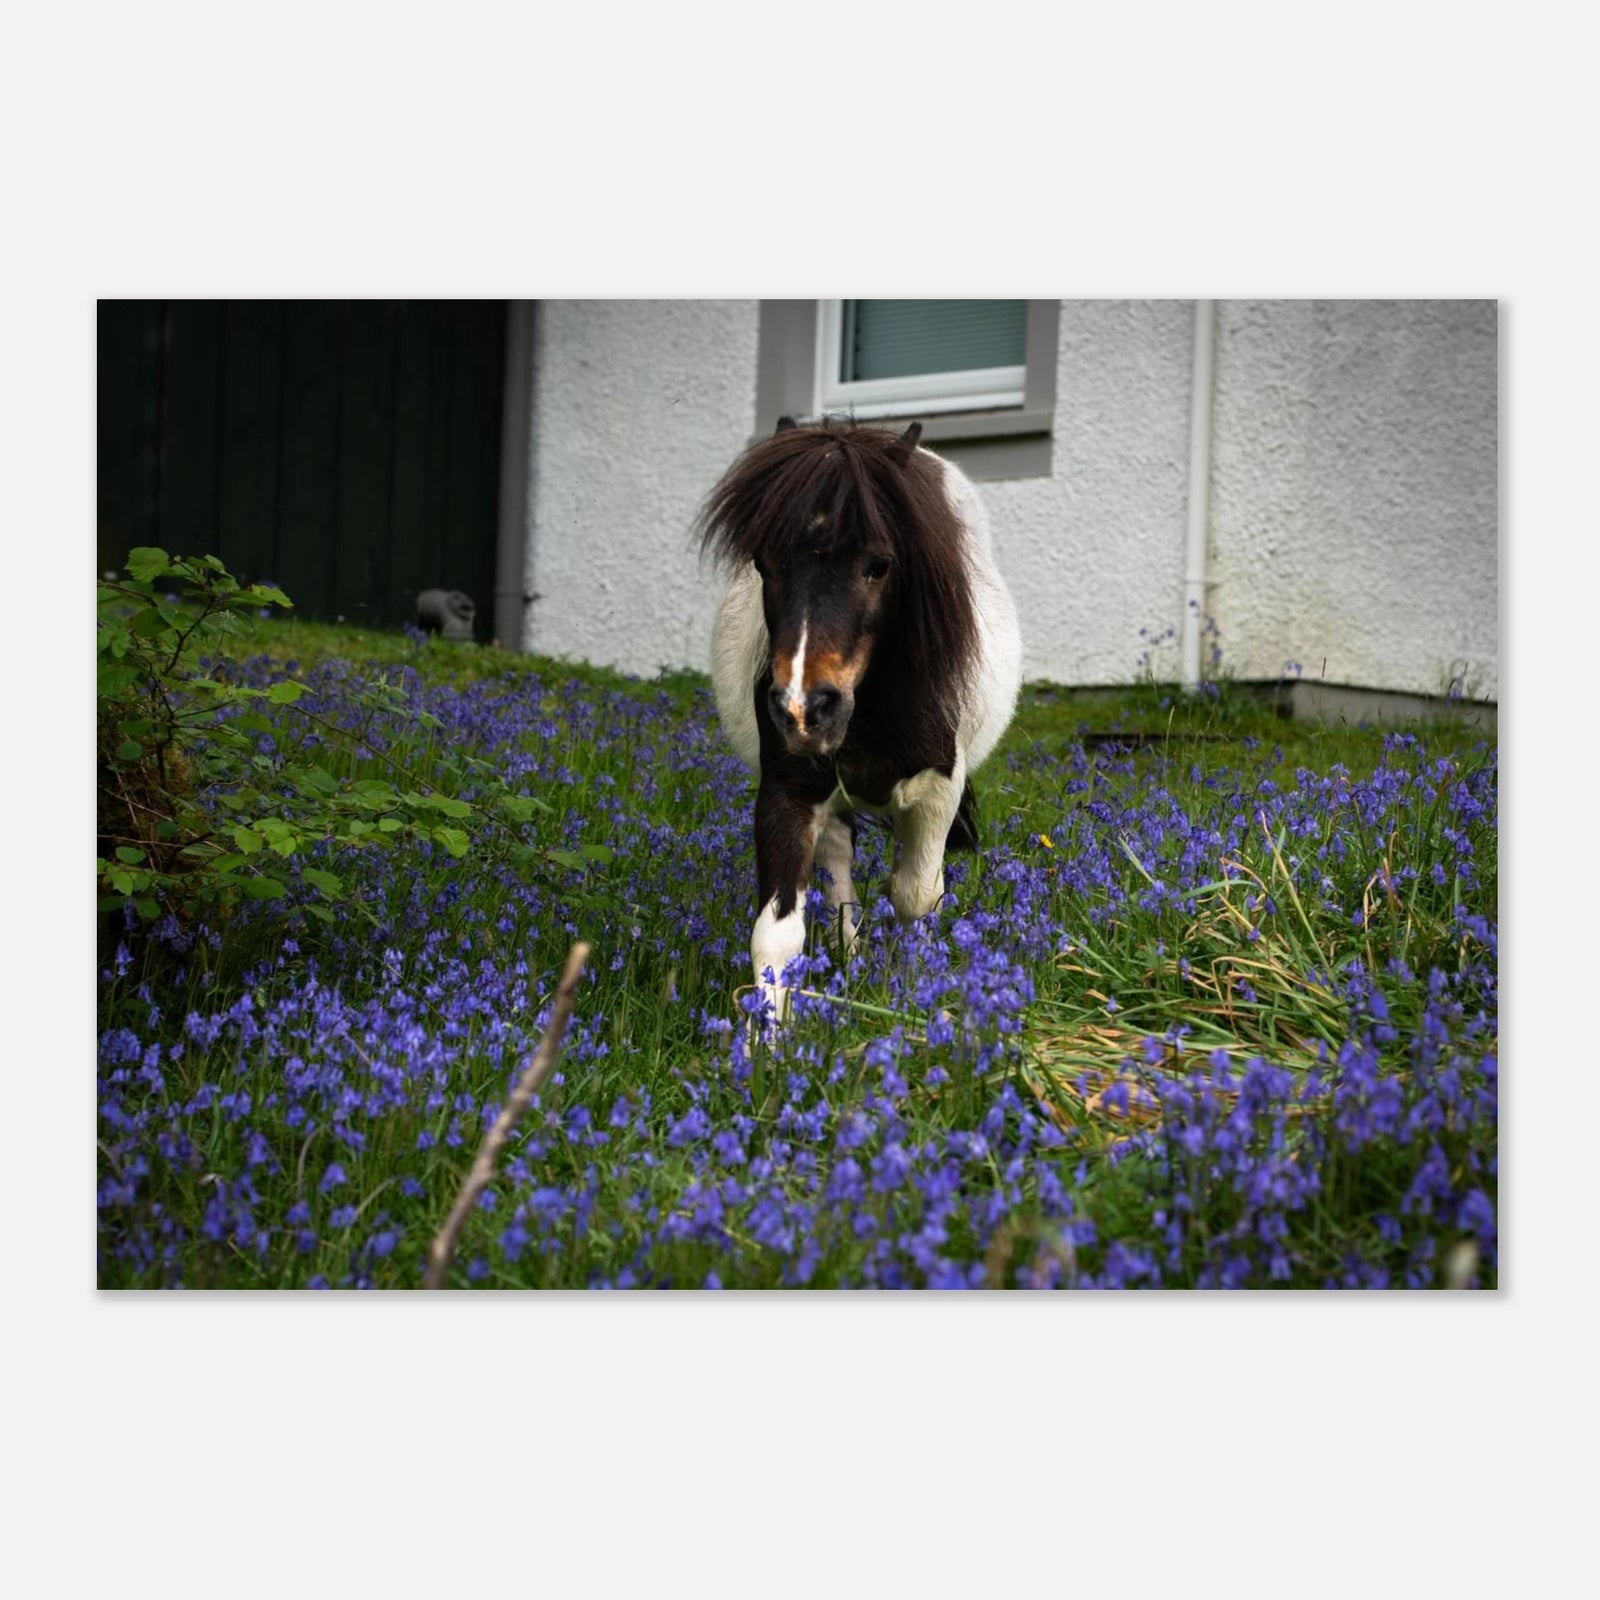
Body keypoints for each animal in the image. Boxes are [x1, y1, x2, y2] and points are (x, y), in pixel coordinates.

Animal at [699, 415, 1023, 1023]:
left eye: (879, 565)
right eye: (763, 564)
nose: (803, 710)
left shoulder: (938, 791)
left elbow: (916, 897)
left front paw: (915, 992)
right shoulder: (788, 790)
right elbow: (777, 934)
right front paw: (767, 1043)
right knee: (838, 872)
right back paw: (846, 959)